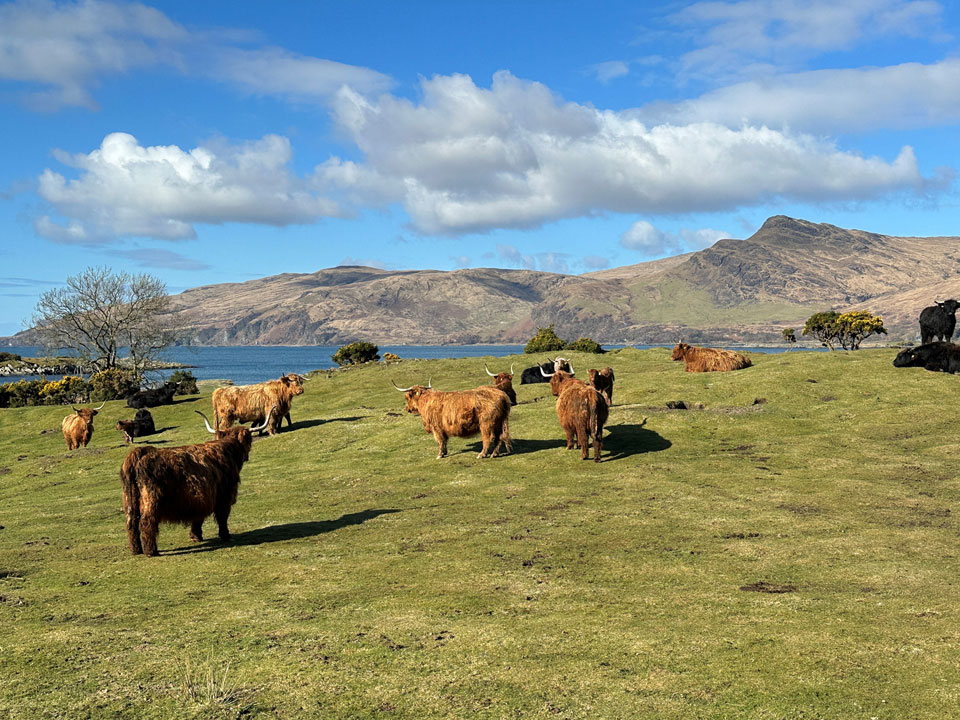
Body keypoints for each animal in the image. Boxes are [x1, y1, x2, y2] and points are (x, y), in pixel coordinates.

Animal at [120, 408, 272, 556]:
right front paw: (225, 535)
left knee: (131, 522)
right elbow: (222, 517)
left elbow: (199, 517)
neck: (227, 450)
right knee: (146, 521)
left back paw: (136, 549)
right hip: (151, 499)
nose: (247, 457)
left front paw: (196, 536)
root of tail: (140, 452)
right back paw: (151, 551)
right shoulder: (224, 496)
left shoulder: (201, 498)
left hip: (130, 500)